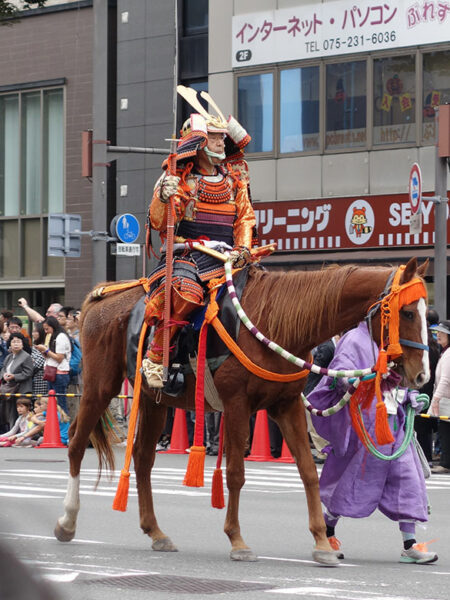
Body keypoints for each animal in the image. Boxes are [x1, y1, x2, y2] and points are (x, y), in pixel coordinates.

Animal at [54, 255, 430, 564]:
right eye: (408, 312)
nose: (422, 375)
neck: (280, 321)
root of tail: (102, 296)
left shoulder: (286, 405)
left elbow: (309, 472)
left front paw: (323, 543)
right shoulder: (237, 404)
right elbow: (236, 473)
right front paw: (237, 540)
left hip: (153, 398)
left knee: (143, 457)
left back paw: (156, 532)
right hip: (100, 385)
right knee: (77, 445)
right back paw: (67, 521)